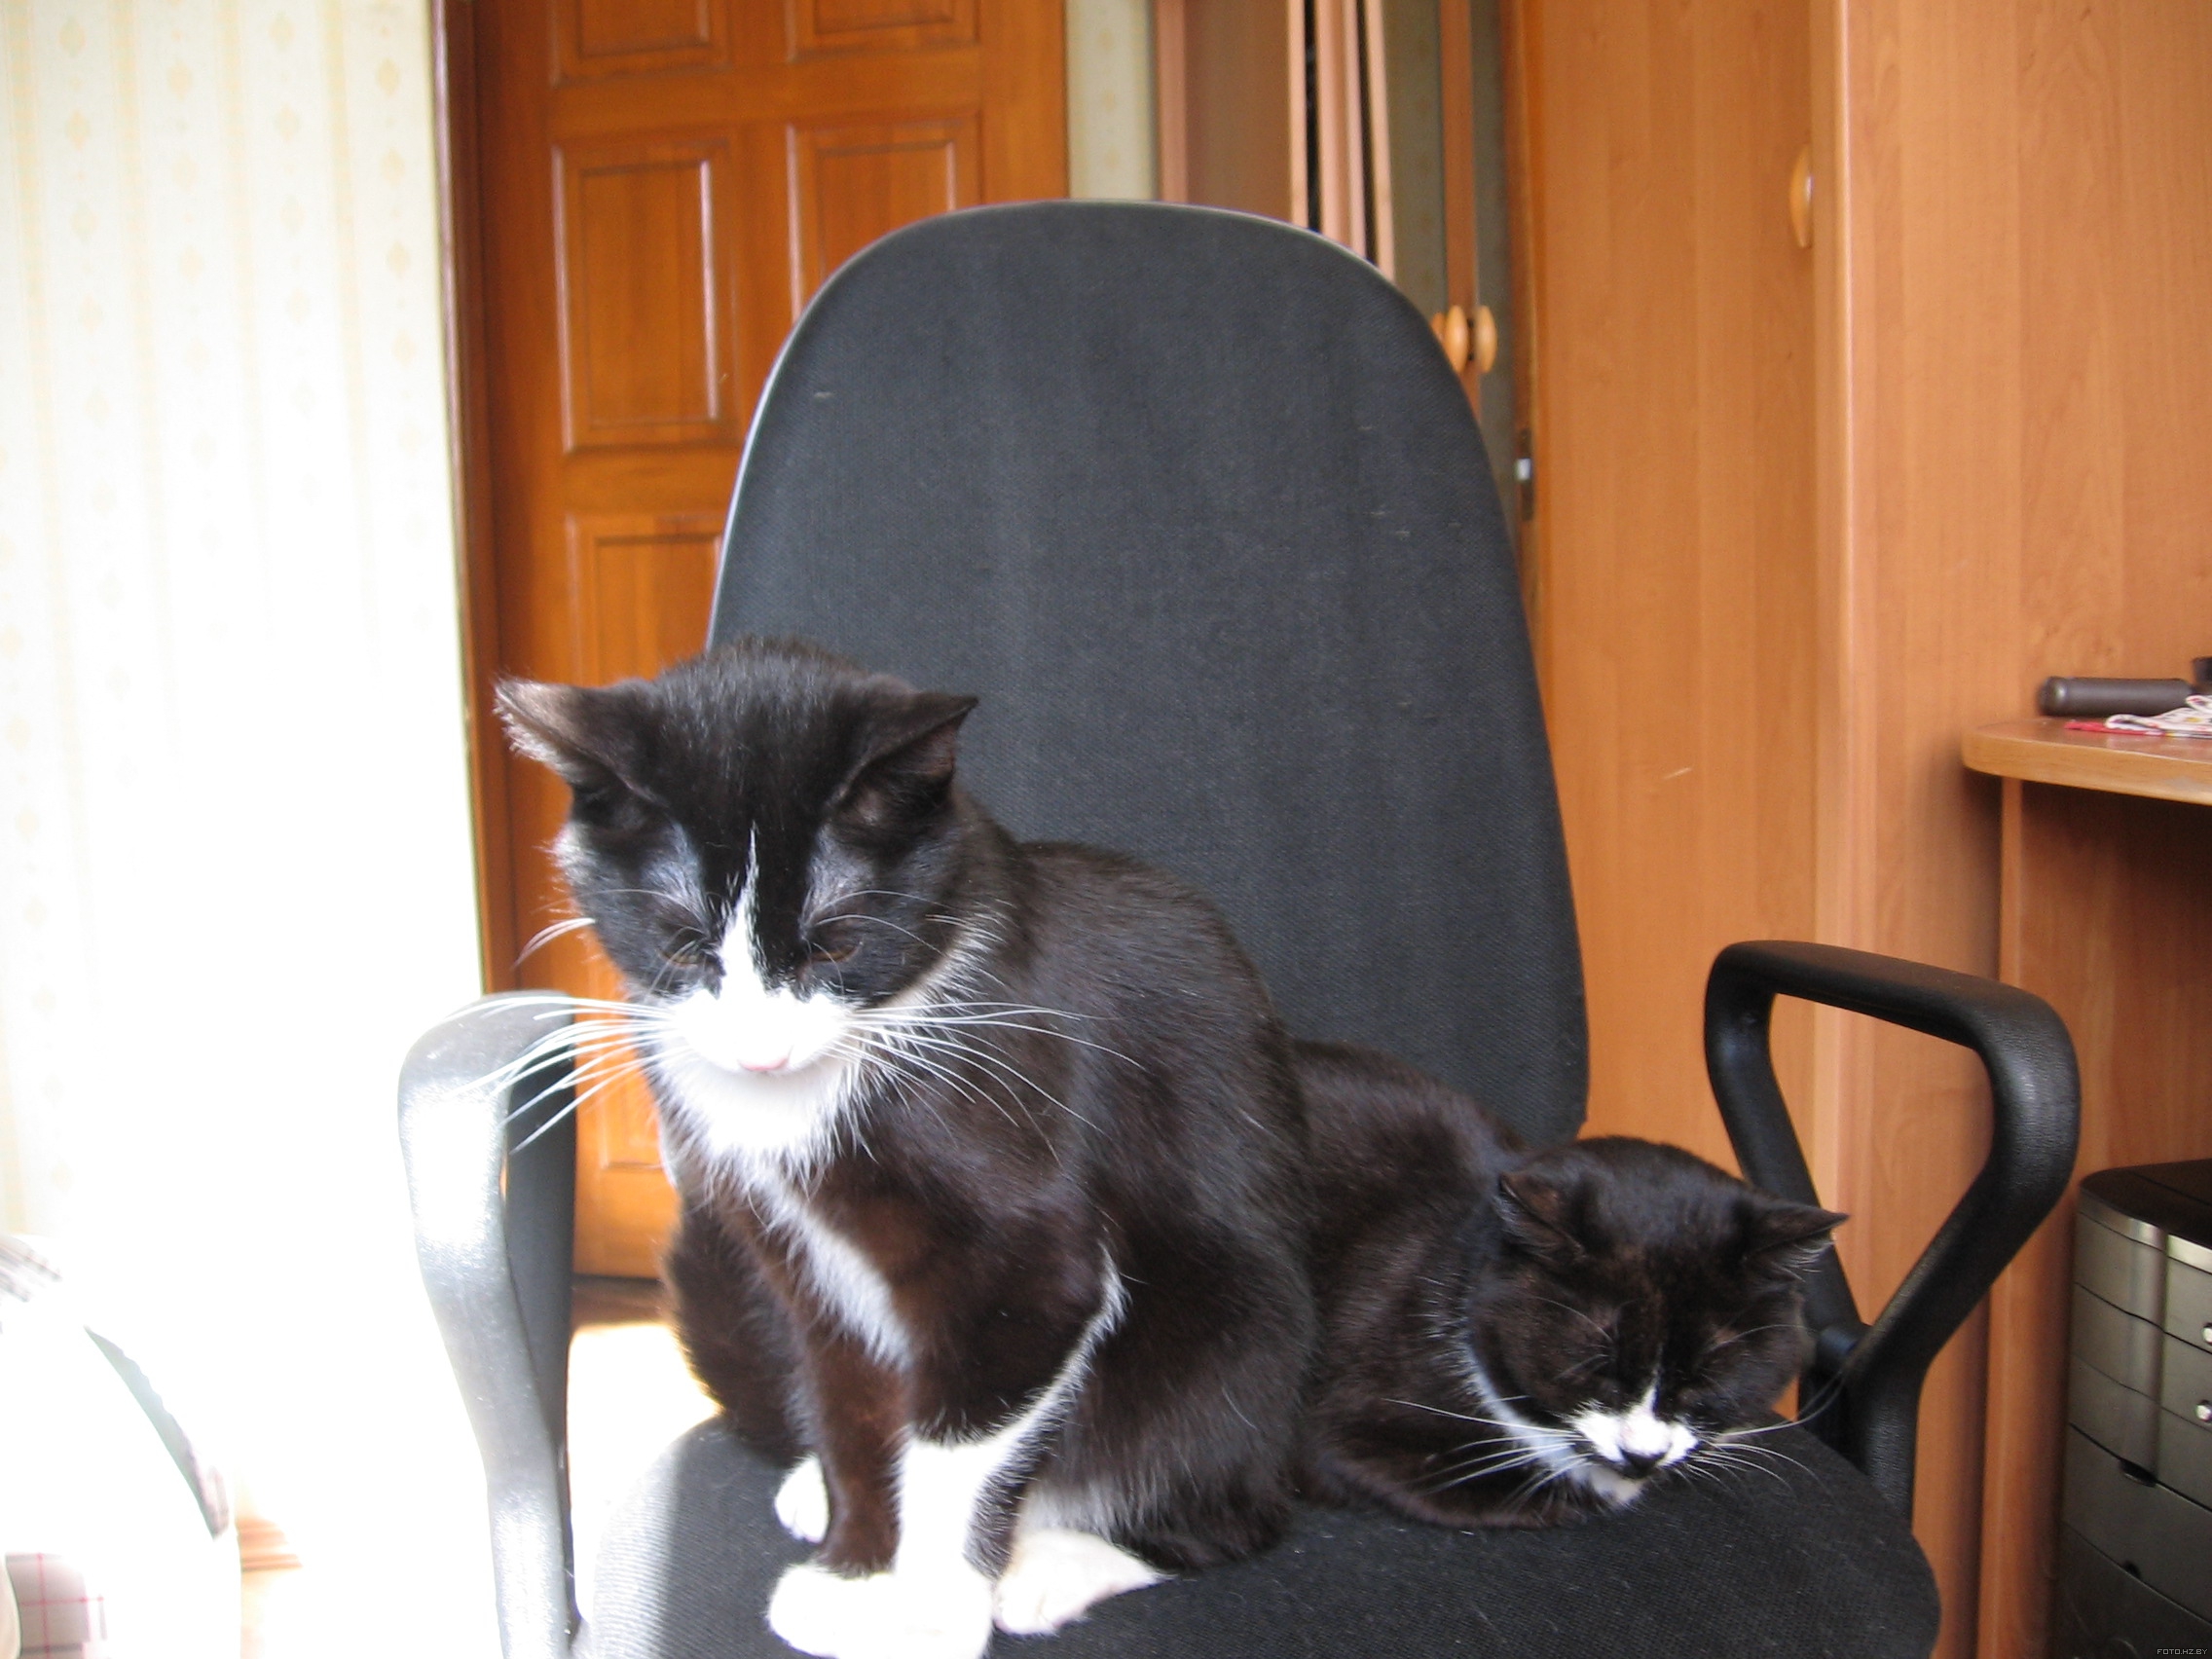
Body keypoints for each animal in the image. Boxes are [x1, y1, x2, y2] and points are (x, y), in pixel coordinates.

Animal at [499, 637, 1314, 1659]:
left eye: (836, 947)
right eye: (683, 949)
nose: (760, 1053)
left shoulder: (1026, 1246)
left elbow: (965, 1432)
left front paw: (926, 1609)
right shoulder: (799, 1256)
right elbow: (846, 1395)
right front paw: (854, 1565)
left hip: (1233, 1331)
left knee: (1233, 1503)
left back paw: (1059, 1561)